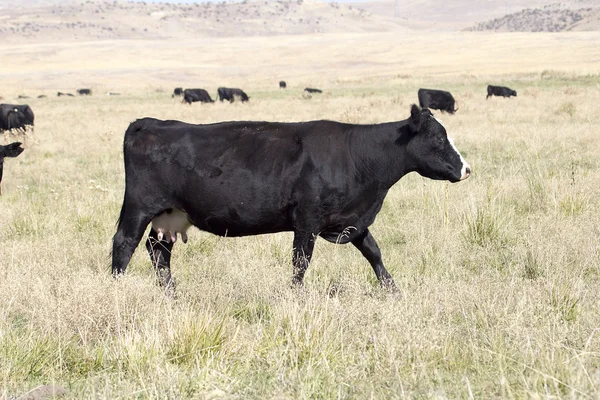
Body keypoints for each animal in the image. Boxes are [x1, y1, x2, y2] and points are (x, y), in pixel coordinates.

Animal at [110, 103, 472, 292]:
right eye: (440, 139)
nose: (466, 168)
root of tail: (149, 122)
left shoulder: (353, 220)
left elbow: (374, 253)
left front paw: (393, 290)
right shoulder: (307, 221)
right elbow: (301, 261)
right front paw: (295, 295)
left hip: (170, 215)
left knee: (159, 251)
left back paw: (171, 294)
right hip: (140, 207)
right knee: (124, 243)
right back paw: (116, 288)